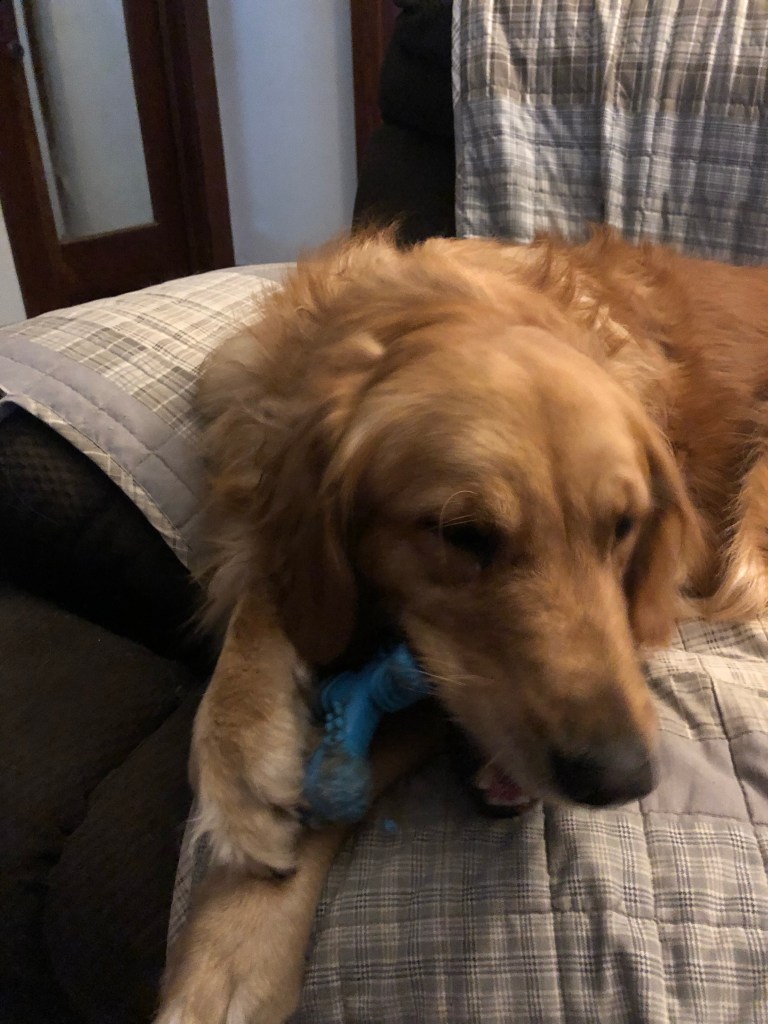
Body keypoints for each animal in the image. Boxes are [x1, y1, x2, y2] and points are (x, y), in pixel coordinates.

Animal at [156, 228, 768, 1023]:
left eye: (623, 527)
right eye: (463, 534)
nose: (622, 778)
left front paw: (234, 939)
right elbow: (269, 582)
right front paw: (242, 753)